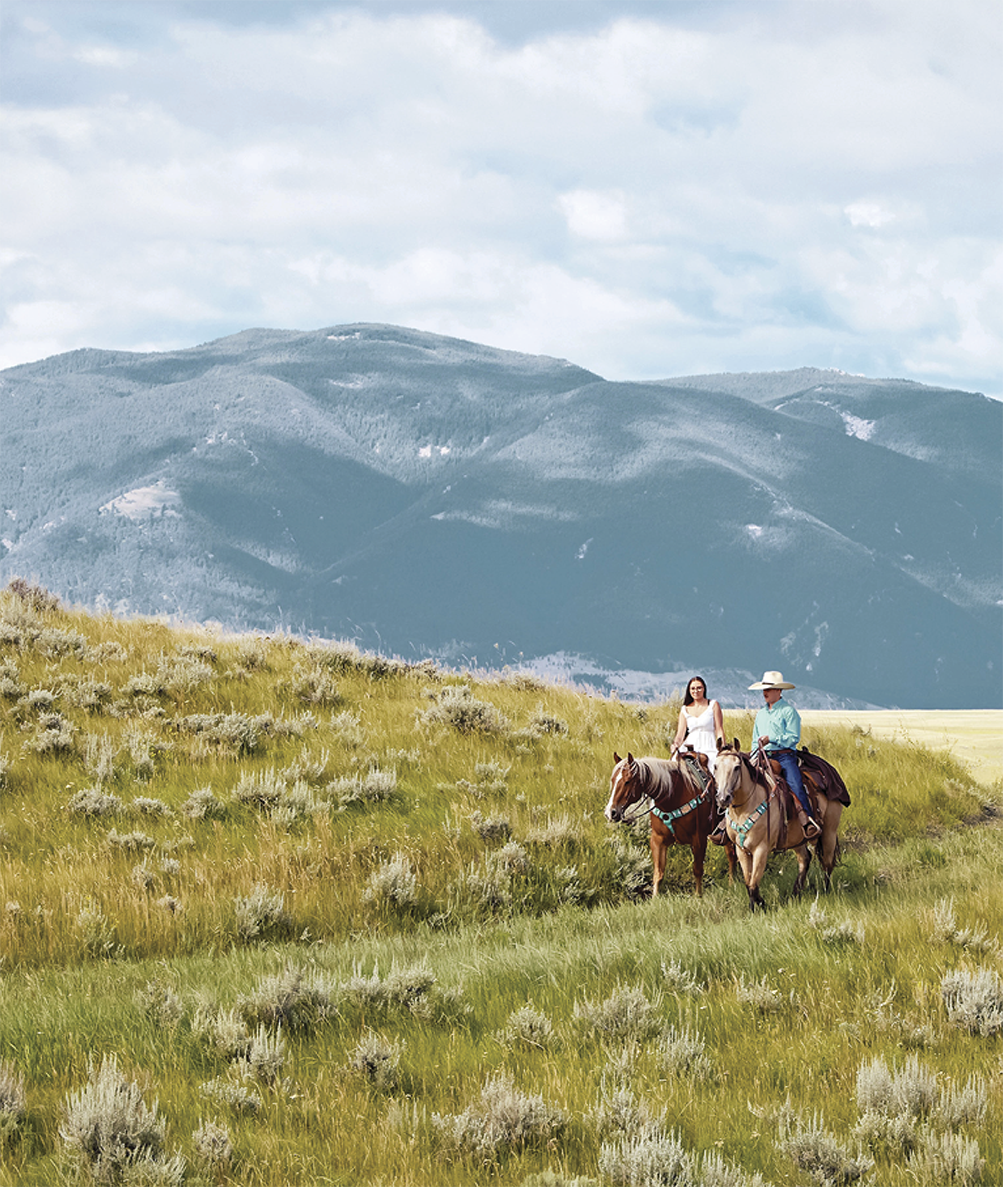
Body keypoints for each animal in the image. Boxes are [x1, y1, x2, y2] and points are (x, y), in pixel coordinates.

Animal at [605, 751, 736, 897]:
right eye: (612, 780)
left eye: (627, 781)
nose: (611, 812)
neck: (673, 797)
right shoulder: (657, 840)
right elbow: (658, 873)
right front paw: (655, 898)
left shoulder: (699, 840)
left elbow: (697, 870)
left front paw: (698, 896)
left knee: (731, 855)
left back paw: (732, 884)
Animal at [713, 739, 845, 910]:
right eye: (715, 766)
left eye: (736, 767)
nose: (723, 798)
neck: (745, 807)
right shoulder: (741, 849)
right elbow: (748, 883)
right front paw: (756, 905)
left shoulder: (761, 849)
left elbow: (754, 883)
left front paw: (759, 906)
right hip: (798, 838)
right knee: (805, 859)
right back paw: (795, 894)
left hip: (829, 831)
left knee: (827, 863)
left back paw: (824, 891)